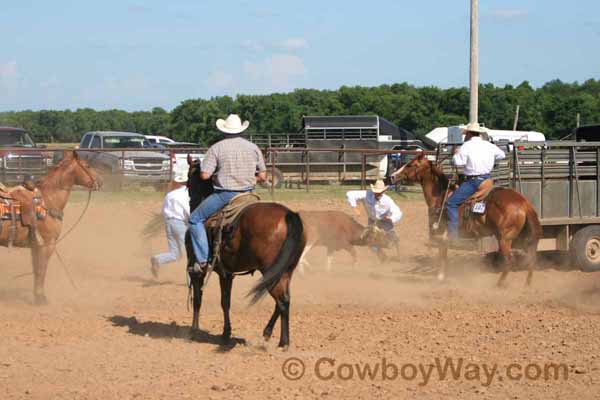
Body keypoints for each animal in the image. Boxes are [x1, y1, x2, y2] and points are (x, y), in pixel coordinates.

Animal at [0, 150, 101, 304]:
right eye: (87, 165)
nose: (100, 181)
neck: (48, 200)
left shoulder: (36, 245)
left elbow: (36, 269)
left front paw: (37, 295)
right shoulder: (48, 244)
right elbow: (42, 270)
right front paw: (41, 298)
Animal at [185, 158, 308, 348]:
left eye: (187, 183)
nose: (191, 204)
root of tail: (289, 215)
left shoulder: (198, 271)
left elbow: (200, 299)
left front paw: (194, 331)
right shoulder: (227, 274)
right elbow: (225, 302)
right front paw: (226, 333)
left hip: (270, 270)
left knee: (282, 301)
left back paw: (283, 342)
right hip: (285, 271)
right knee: (284, 300)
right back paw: (269, 334)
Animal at [392, 152, 540, 286]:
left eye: (410, 164)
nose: (393, 176)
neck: (441, 195)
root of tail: (523, 202)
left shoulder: (443, 232)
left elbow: (442, 252)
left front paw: (440, 277)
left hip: (505, 238)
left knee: (510, 260)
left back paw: (499, 284)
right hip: (521, 238)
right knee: (531, 257)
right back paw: (527, 283)